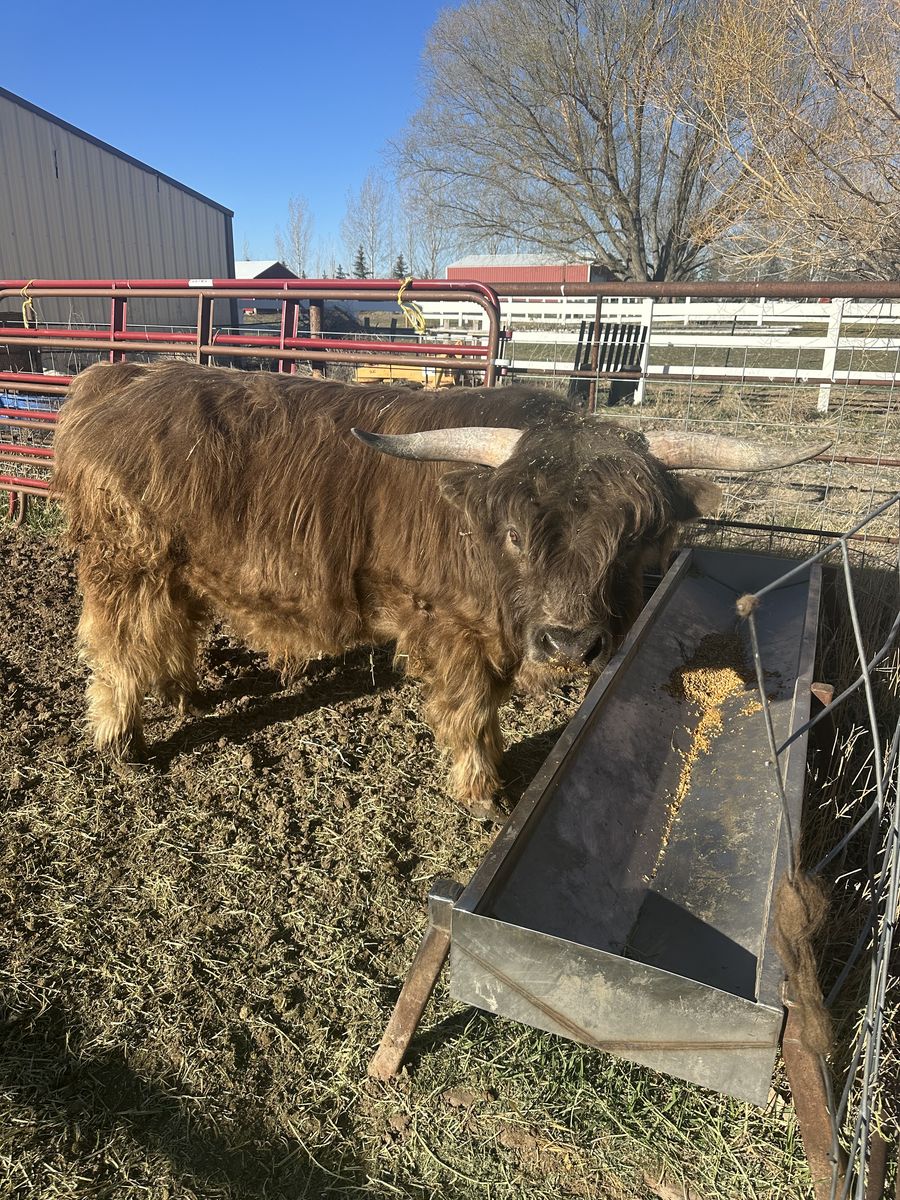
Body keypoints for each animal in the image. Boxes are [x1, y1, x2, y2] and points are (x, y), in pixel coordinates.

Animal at [51, 361, 828, 820]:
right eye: (514, 535)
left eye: (633, 540)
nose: (570, 643)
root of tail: (126, 374)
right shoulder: (453, 629)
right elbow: (471, 712)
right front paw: (483, 792)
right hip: (126, 562)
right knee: (116, 646)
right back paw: (120, 739)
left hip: (176, 567)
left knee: (174, 625)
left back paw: (183, 694)